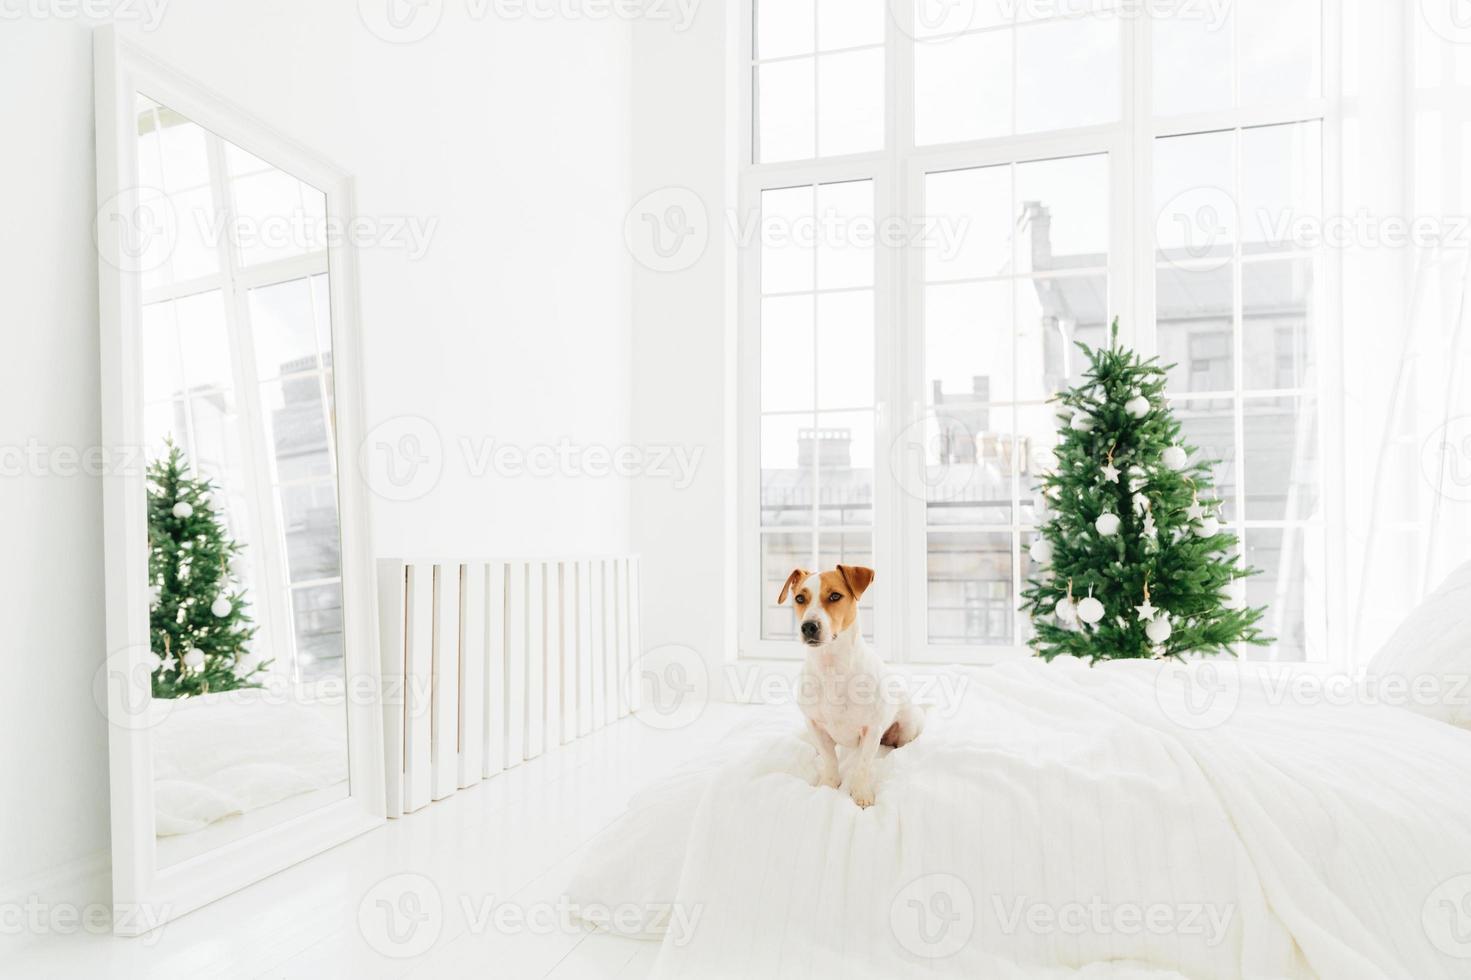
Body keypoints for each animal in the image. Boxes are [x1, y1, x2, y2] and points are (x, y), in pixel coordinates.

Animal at [776, 562, 923, 806]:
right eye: (799, 598)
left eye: (835, 596)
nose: (808, 626)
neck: (831, 667)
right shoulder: (814, 724)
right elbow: (829, 758)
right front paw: (828, 783)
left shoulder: (872, 730)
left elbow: (862, 765)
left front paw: (861, 792)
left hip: (908, 725)